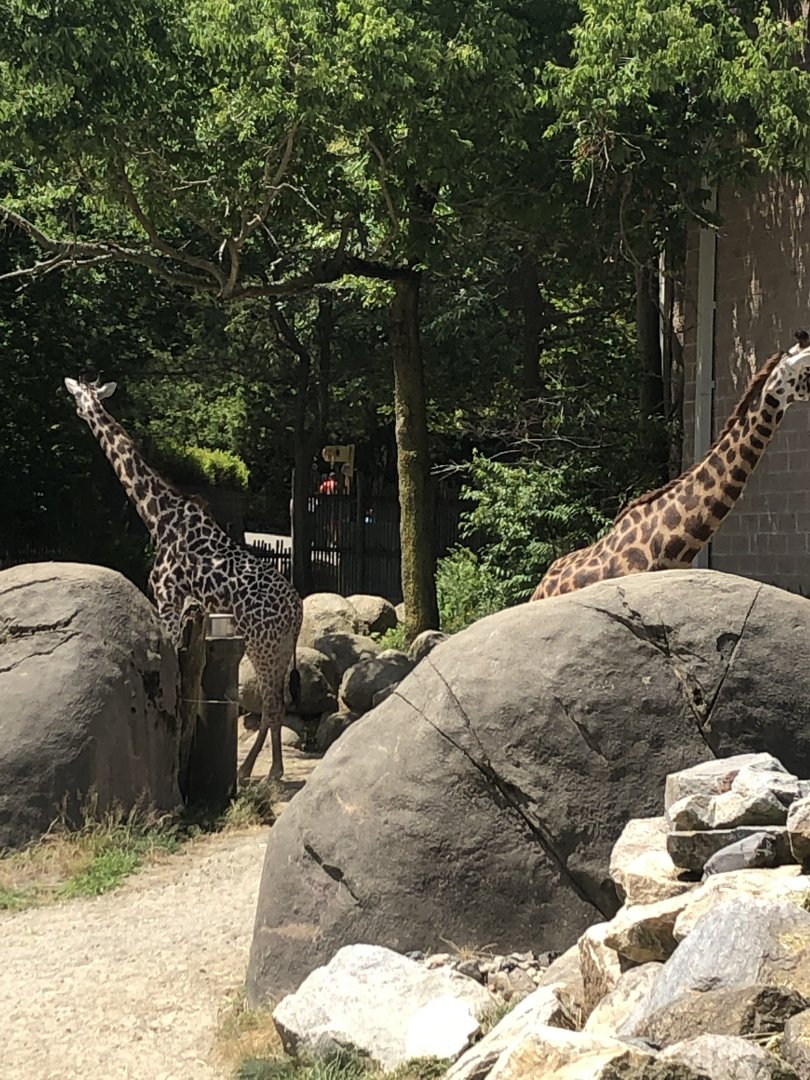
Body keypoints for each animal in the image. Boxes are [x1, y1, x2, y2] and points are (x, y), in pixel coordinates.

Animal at [64, 377, 302, 780]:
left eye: (79, 392)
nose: (77, 405)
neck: (157, 517)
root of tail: (298, 611)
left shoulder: (167, 595)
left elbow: (173, 665)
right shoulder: (183, 602)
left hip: (263, 644)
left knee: (272, 705)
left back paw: (266, 772)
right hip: (281, 648)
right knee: (278, 703)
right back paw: (255, 770)